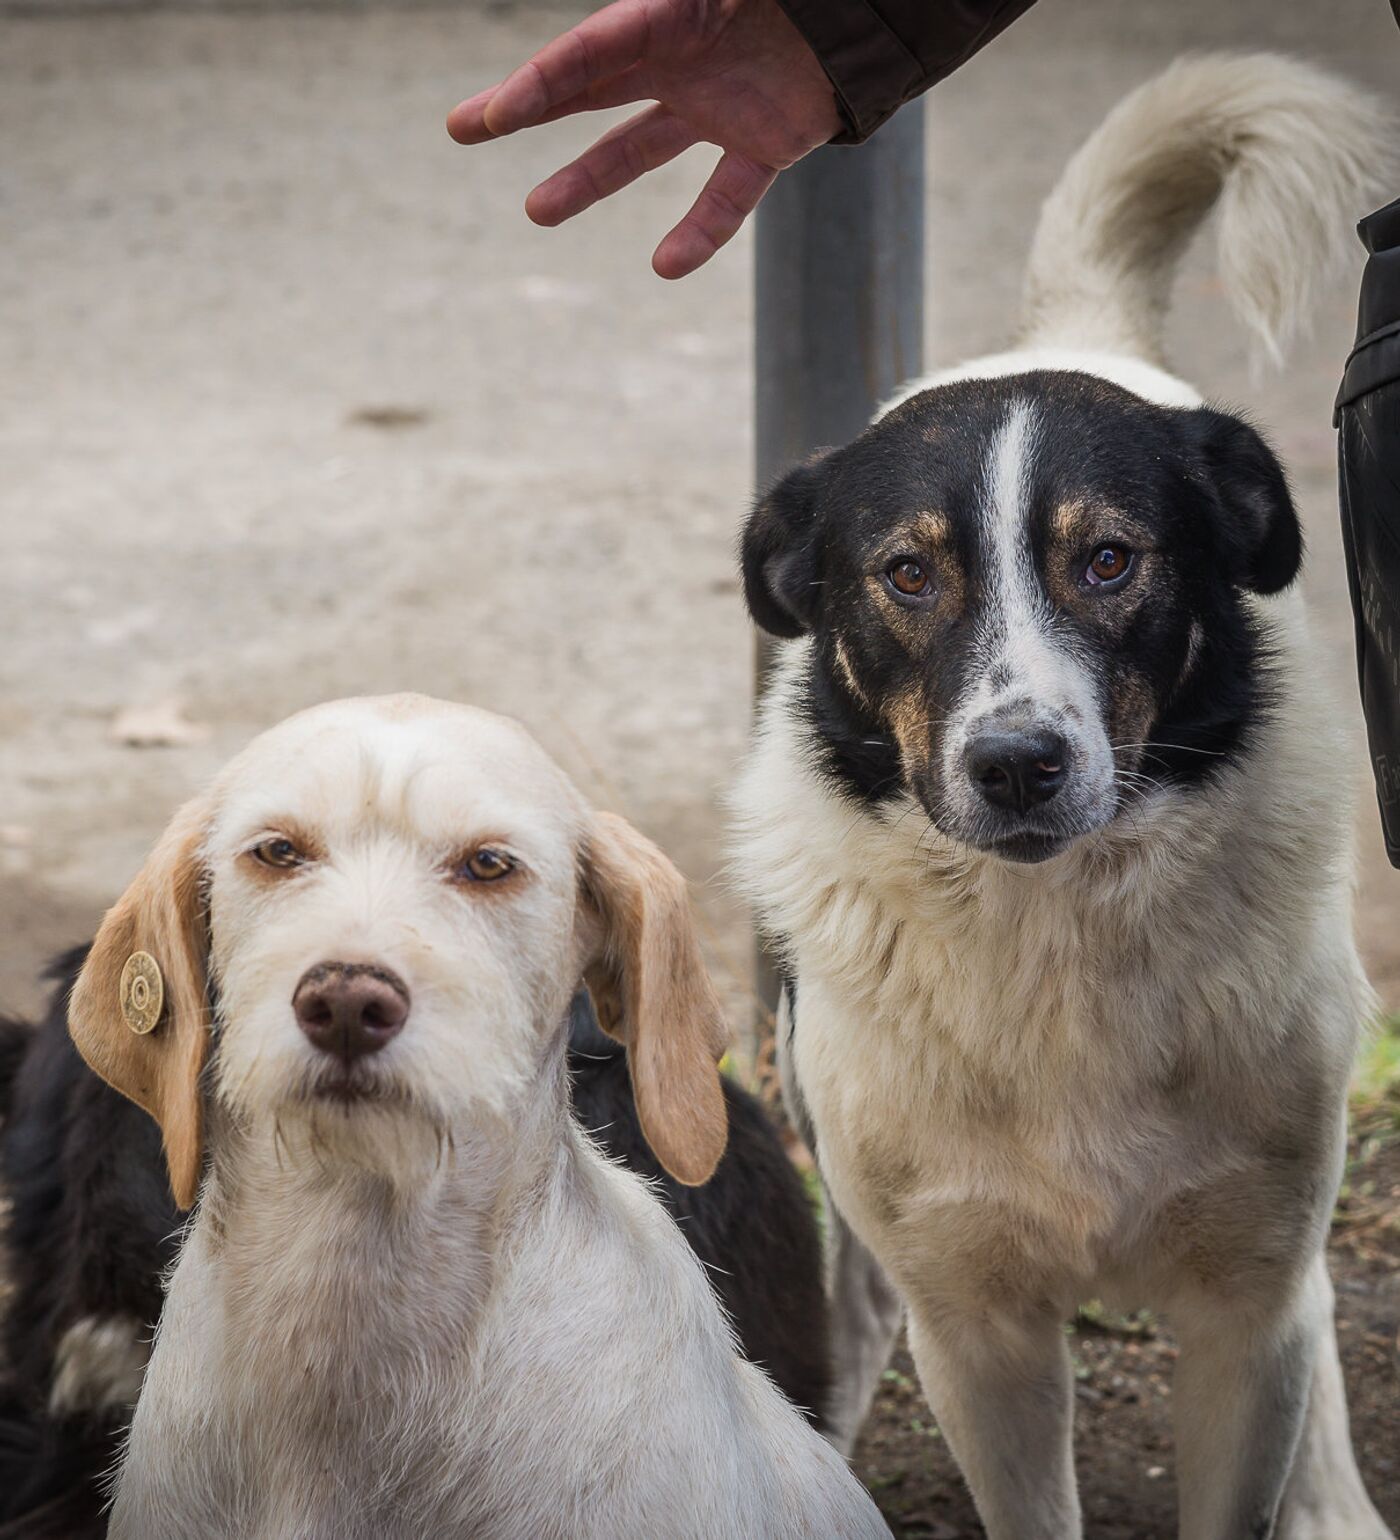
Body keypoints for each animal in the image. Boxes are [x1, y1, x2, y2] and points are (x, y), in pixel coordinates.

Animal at [736, 51, 1392, 1540]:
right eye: (906, 574)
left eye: (1108, 560)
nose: (1016, 765)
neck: (1056, 938)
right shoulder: (977, 1327)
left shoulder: (1242, 1311)